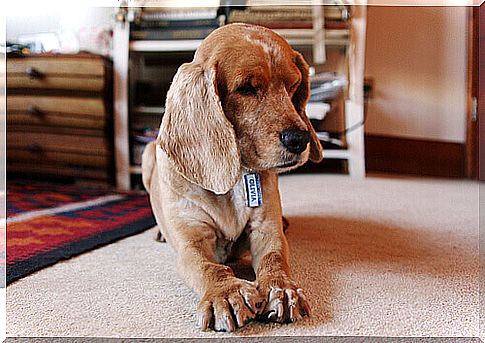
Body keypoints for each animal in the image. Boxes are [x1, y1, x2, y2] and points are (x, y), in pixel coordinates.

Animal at [140, 23, 322, 334]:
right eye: (246, 88)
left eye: (294, 85)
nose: (300, 139)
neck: (235, 180)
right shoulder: (192, 242)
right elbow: (209, 267)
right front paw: (226, 293)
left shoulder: (266, 231)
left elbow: (275, 259)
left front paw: (282, 289)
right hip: (147, 153)